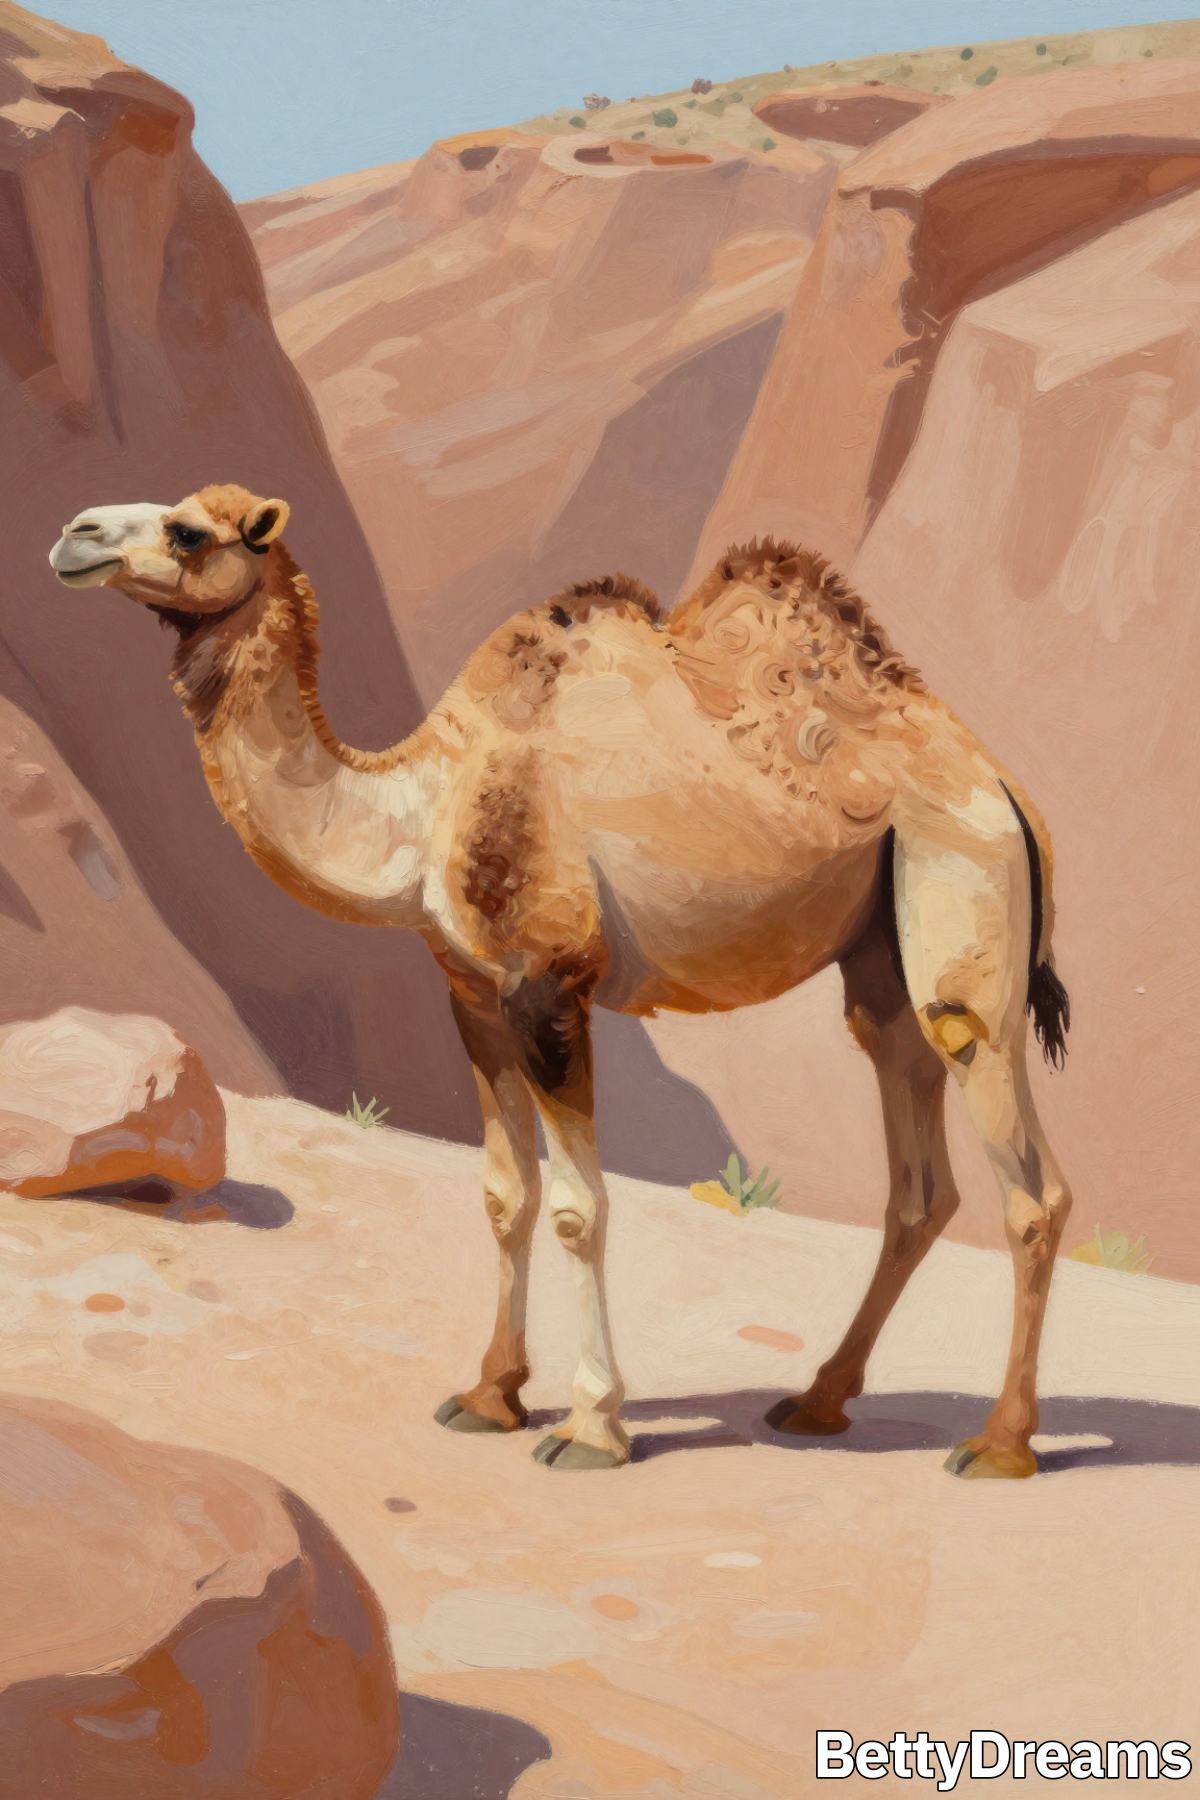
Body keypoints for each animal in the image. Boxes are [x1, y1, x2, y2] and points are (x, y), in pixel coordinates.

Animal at [51, 484, 1072, 1480]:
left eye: (189, 530)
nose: (73, 533)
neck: (421, 809)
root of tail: (1007, 790)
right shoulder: (473, 994)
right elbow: (507, 1197)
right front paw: (487, 1395)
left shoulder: (550, 987)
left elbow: (582, 1210)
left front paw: (591, 1428)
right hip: (881, 954)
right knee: (915, 1165)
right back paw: (818, 1402)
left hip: (962, 880)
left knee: (1024, 1170)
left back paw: (1000, 1445)